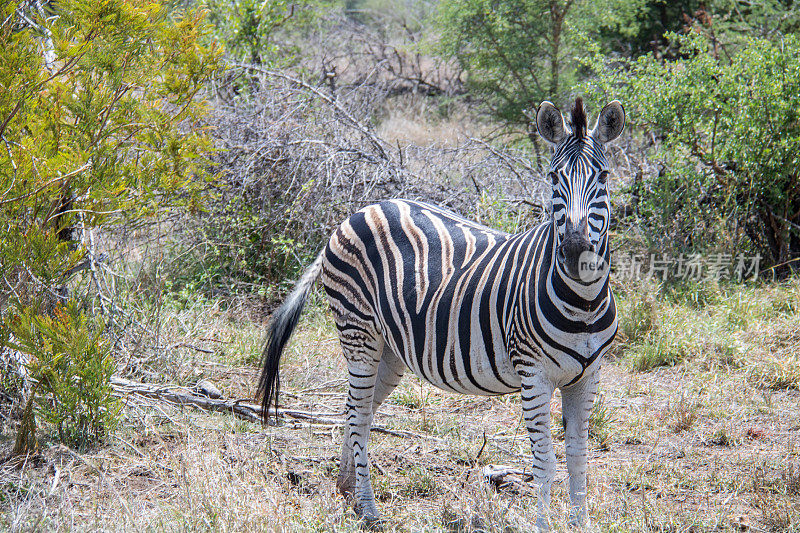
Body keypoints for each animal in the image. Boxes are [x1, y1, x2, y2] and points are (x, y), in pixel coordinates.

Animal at [256, 98, 624, 528]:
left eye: (603, 177)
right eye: (553, 177)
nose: (575, 250)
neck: (583, 303)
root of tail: (357, 212)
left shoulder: (587, 377)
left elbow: (579, 457)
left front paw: (580, 524)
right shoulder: (533, 374)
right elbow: (546, 462)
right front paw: (543, 526)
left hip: (389, 351)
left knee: (355, 410)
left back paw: (347, 490)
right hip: (358, 332)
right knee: (360, 416)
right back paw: (369, 510)